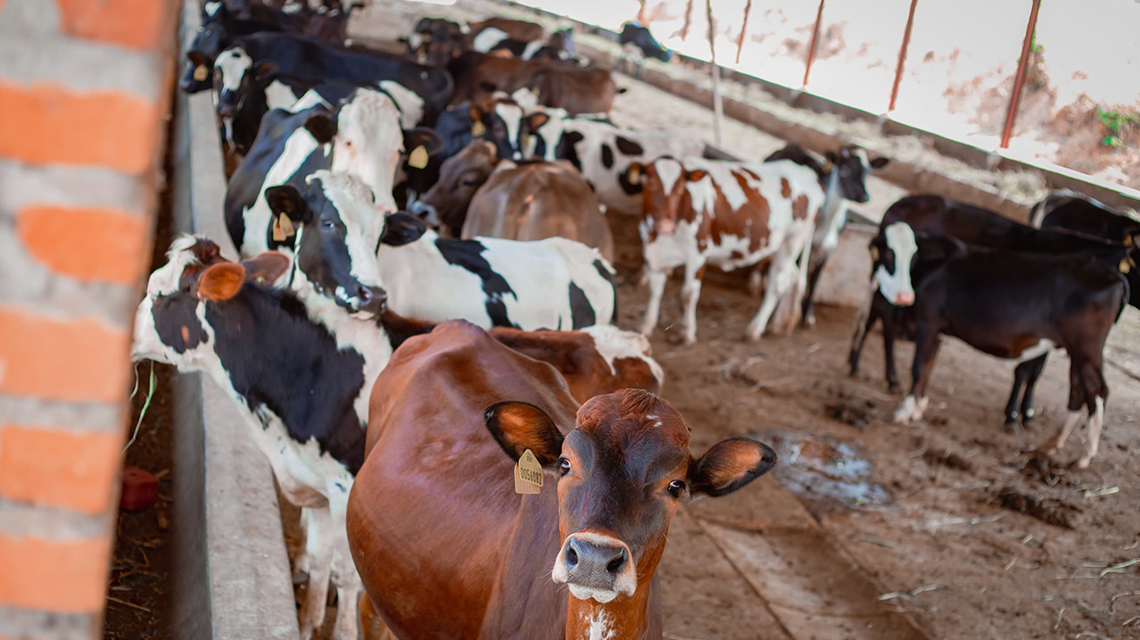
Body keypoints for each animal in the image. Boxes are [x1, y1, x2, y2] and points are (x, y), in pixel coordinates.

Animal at [627, 156, 824, 344]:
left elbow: (688, 294)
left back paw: (754, 329)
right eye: (650, 183)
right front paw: (646, 326)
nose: (666, 225)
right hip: (780, 247)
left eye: (681, 188)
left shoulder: (698, 252)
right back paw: (777, 324)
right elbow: (655, 289)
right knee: (792, 277)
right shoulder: (653, 252)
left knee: (777, 283)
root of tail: (808, 173)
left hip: (793, 241)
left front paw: (687, 333)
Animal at [762, 144, 889, 326]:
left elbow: (815, 280)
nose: (864, 196)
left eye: (867, 171)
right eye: (844, 169)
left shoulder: (829, 248)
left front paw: (808, 314)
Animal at [870, 223, 1129, 469]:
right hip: (1077, 351)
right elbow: (929, 366)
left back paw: (1085, 456)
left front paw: (904, 410)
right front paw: (918, 408)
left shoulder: (928, 322)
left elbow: (919, 367)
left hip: (1086, 350)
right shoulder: (938, 330)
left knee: (1098, 391)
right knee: (1078, 391)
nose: (904, 296)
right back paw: (1051, 444)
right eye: (889, 254)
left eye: (912, 254)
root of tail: (1114, 275)